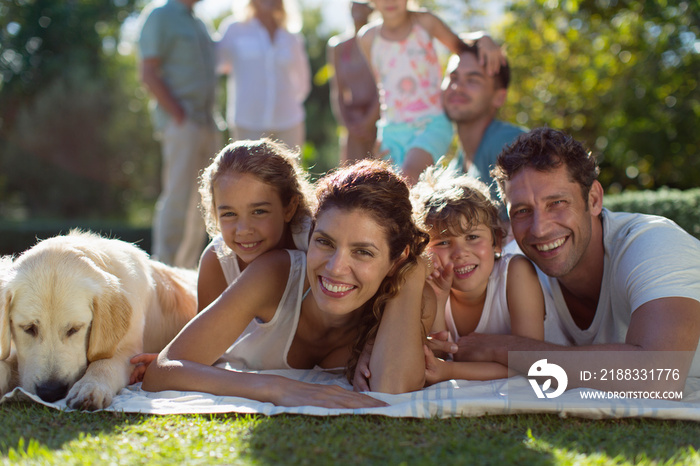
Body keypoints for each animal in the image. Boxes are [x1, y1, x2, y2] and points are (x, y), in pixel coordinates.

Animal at [0, 231, 197, 410]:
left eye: (75, 329)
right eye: (28, 328)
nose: (51, 391)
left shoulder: (130, 350)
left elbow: (105, 363)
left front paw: (91, 387)